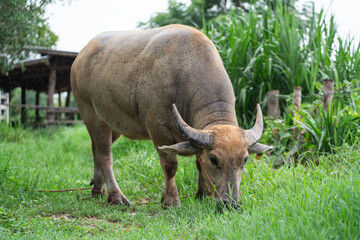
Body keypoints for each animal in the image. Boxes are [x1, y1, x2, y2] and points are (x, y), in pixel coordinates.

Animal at [70, 24, 272, 208]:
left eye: (245, 159)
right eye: (214, 159)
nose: (232, 203)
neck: (181, 74)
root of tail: (79, 58)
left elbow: (198, 162)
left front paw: (203, 194)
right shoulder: (158, 129)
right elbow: (170, 165)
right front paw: (171, 201)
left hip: (114, 123)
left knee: (95, 149)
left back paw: (97, 188)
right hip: (91, 114)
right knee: (104, 155)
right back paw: (116, 196)